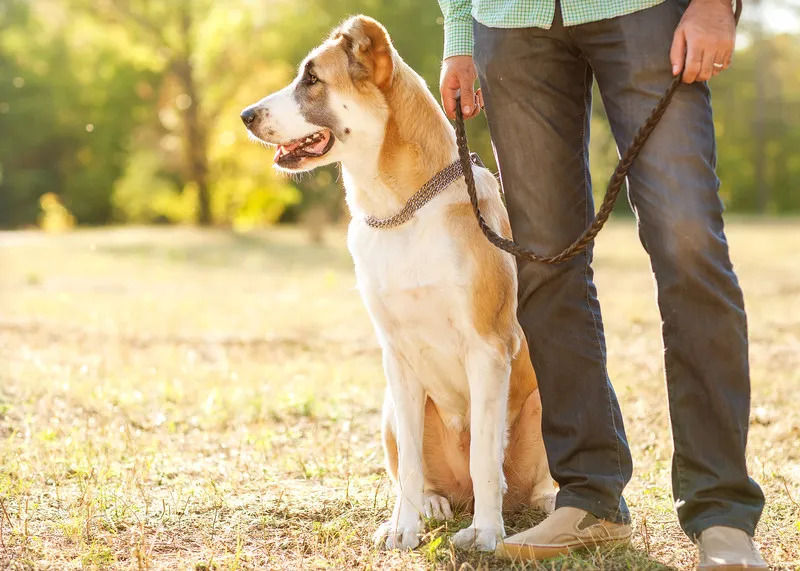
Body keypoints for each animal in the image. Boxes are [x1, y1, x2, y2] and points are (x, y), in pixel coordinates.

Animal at [241, 15, 556, 552]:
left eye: (312, 79)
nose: (245, 115)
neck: (404, 210)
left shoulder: (487, 349)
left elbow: (484, 457)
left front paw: (486, 533)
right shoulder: (399, 358)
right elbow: (409, 462)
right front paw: (404, 527)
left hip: (539, 403)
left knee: (517, 479)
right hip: (389, 406)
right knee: (424, 474)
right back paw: (433, 504)